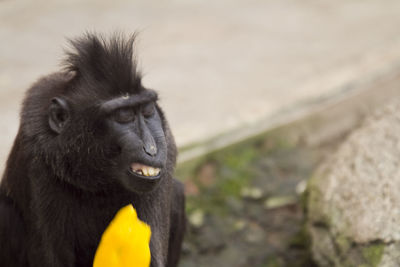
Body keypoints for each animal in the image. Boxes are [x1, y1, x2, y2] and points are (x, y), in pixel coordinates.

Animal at [0, 33, 185, 267]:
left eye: (147, 110)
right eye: (123, 115)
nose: (151, 148)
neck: (98, 177)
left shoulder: (166, 146)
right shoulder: (35, 154)